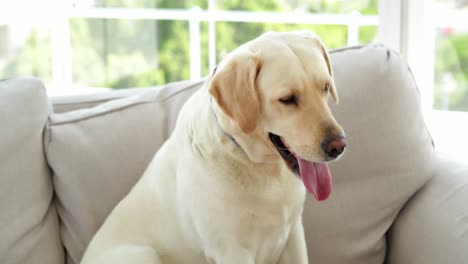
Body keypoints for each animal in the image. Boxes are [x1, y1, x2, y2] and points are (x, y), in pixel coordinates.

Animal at [80, 31, 346, 264]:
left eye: (325, 87)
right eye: (287, 99)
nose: (338, 146)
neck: (259, 166)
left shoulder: (293, 236)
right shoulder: (231, 251)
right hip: (143, 254)